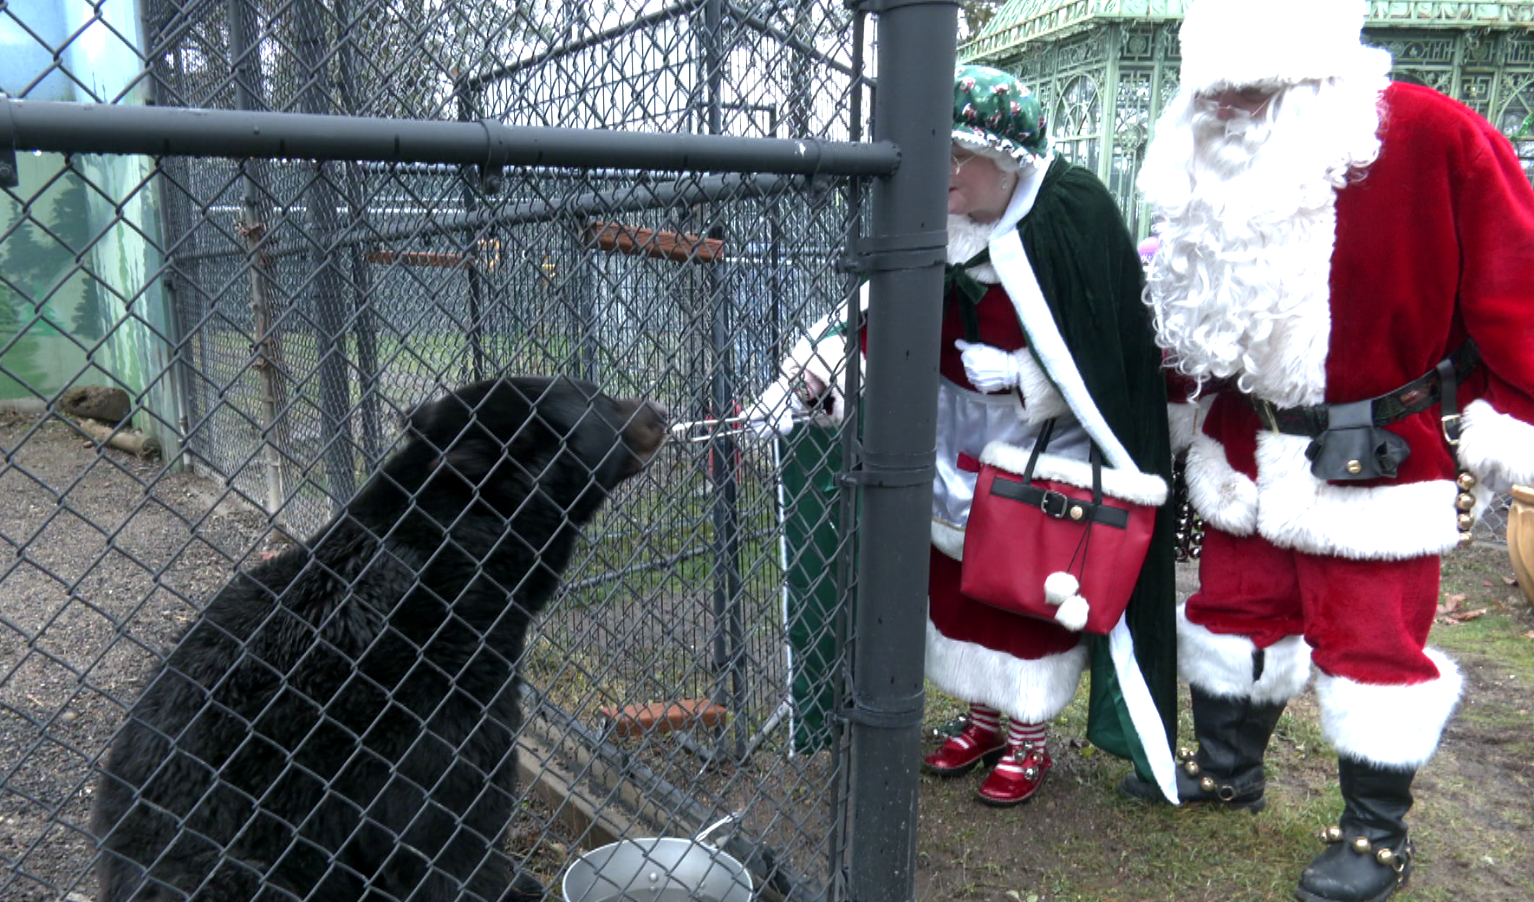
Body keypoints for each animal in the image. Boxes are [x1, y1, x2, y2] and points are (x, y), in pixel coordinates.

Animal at [92, 377, 668, 902]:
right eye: (599, 399)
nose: (659, 411)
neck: (463, 561)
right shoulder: (437, 699)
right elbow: (447, 833)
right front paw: (501, 883)